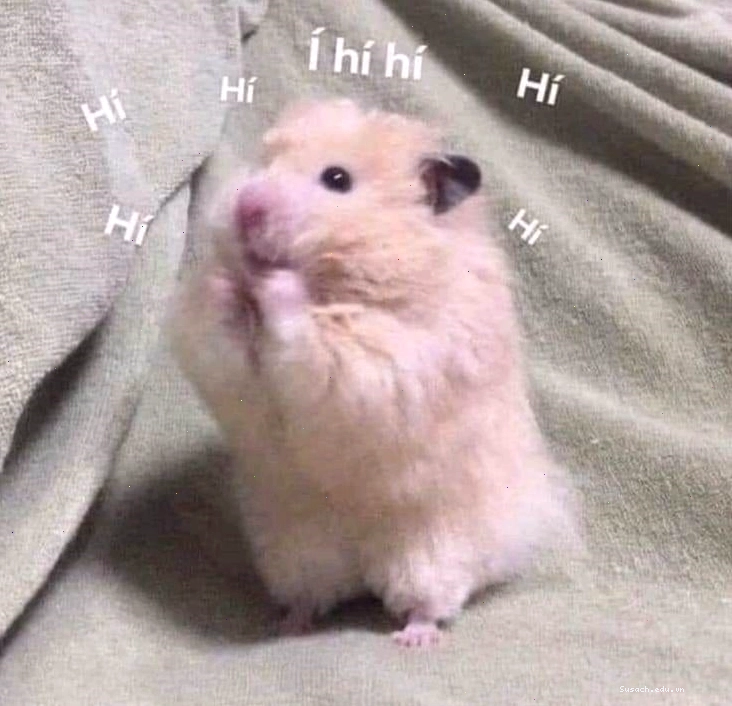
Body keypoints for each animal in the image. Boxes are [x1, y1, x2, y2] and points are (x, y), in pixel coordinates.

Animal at [169, 98, 578, 648]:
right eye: (264, 162)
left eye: (337, 179)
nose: (246, 206)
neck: (336, 281)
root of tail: (363, 567)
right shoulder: (216, 358)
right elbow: (217, 328)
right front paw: (224, 283)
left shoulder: (387, 362)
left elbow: (312, 336)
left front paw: (275, 283)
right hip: (296, 547)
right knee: (314, 593)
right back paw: (290, 624)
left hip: (430, 548)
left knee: (429, 600)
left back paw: (414, 638)